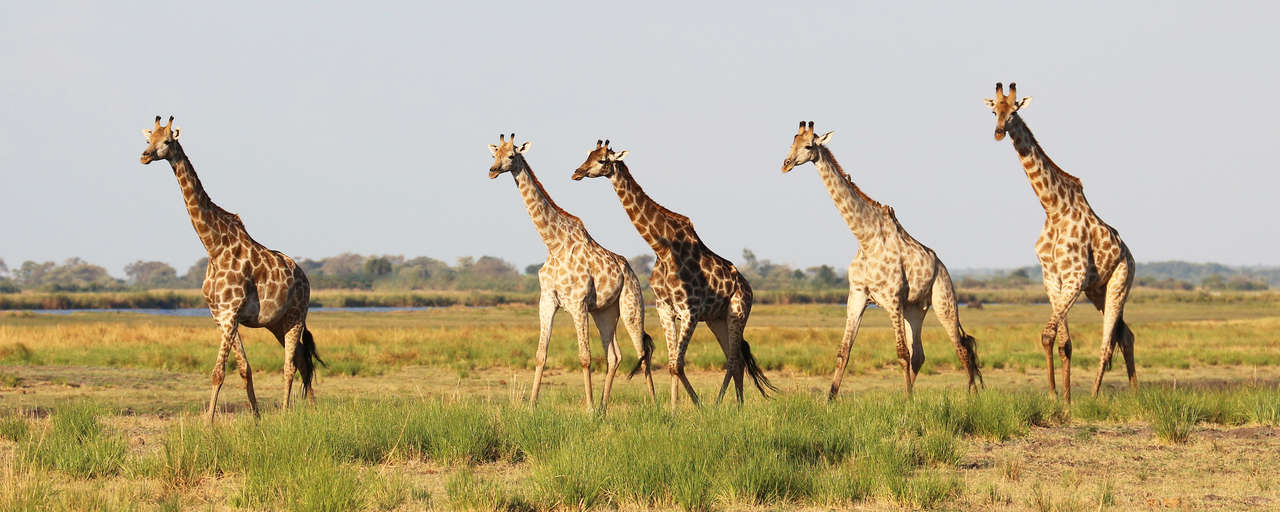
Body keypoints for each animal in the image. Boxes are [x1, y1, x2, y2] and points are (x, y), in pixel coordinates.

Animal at [136, 117, 320, 424]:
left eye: (168, 141)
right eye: (149, 139)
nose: (144, 156)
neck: (213, 246)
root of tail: (305, 277)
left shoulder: (231, 313)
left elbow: (218, 373)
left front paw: (207, 424)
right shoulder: (220, 317)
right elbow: (244, 370)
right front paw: (256, 418)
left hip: (296, 316)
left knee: (290, 366)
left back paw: (286, 413)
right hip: (276, 323)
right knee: (302, 363)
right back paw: (312, 409)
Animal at [483, 133, 655, 412]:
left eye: (510, 155)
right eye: (493, 154)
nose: (492, 171)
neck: (554, 244)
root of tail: (630, 271)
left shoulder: (578, 303)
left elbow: (585, 357)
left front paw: (588, 409)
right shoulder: (547, 301)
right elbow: (540, 354)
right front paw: (532, 405)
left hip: (631, 307)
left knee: (641, 351)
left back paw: (655, 404)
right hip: (605, 312)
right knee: (614, 355)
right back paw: (604, 407)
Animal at [573, 138, 773, 407]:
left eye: (602, 160)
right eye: (588, 156)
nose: (577, 172)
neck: (662, 248)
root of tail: (748, 288)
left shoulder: (690, 311)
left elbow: (677, 365)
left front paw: (698, 406)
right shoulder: (665, 310)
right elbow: (671, 365)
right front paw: (674, 409)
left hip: (738, 313)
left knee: (733, 360)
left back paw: (724, 405)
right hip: (717, 319)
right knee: (736, 360)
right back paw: (733, 405)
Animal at [778, 122, 977, 396]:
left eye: (808, 146)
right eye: (791, 143)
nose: (785, 164)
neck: (866, 238)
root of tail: (943, 267)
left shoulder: (892, 299)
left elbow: (901, 354)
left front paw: (908, 402)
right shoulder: (857, 296)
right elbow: (844, 352)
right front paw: (830, 398)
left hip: (943, 301)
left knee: (961, 348)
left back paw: (972, 397)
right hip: (914, 309)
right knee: (921, 355)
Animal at [983, 83, 1136, 401]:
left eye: (1014, 111)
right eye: (994, 111)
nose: (999, 132)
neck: (1053, 208)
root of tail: (1129, 254)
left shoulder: (1074, 277)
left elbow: (1050, 334)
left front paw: (1064, 397)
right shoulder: (1052, 278)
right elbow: (1059, 340)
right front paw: (1059, 396)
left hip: (1120, 282)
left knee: (1107, 343)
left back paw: (1095, 396)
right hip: (1098, 291)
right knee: (1126, 335)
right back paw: (1135, 392)